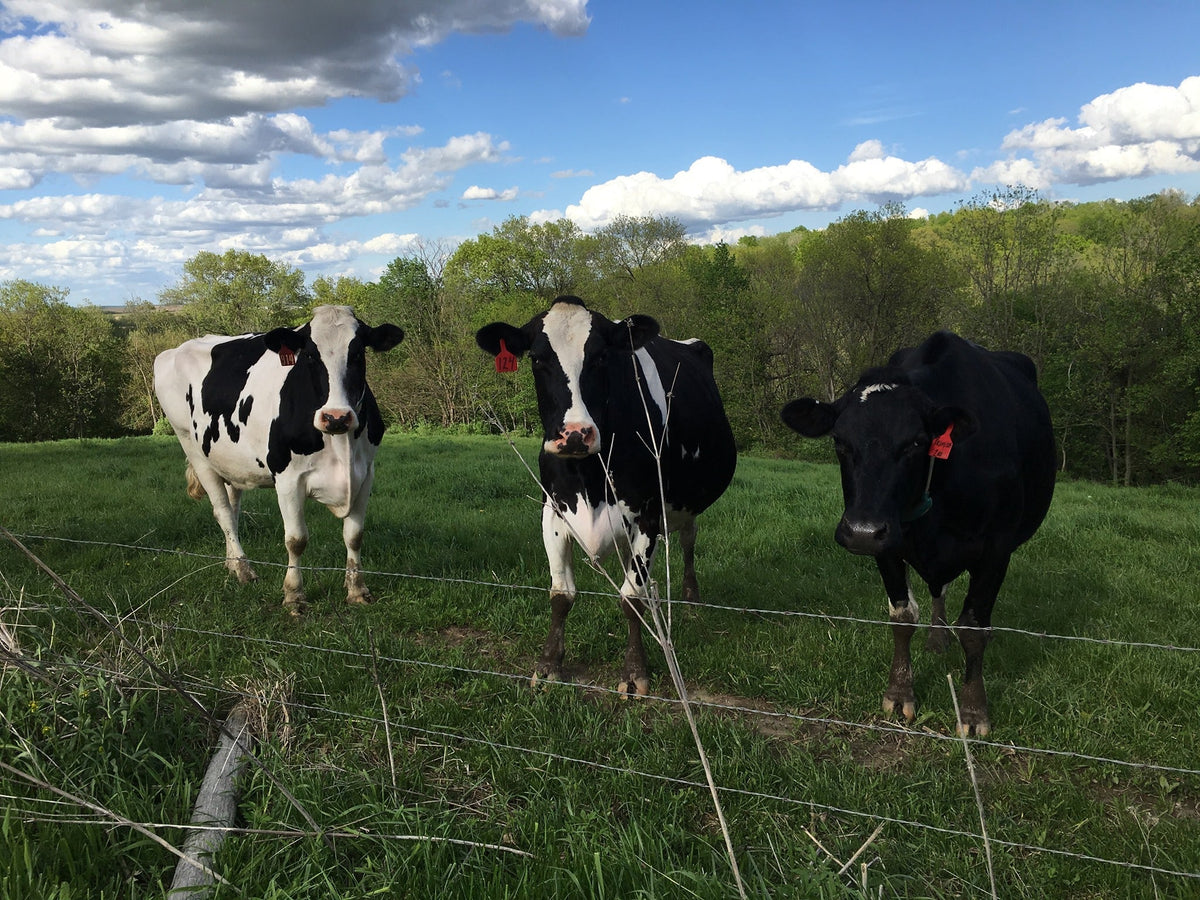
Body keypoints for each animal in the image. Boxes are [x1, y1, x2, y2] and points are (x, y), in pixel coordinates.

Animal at [153, 305, 404, 614]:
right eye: (310, 355)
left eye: (358, 353)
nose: (336, 417)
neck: (340, 443)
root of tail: (173, 350)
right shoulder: (287, 478)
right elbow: (296, 540)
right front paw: (294, 595)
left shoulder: (365, 474)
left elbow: (354, 535)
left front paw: (357, 590)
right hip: (193, 448)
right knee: (222, 511)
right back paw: (244, 570)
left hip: (230, 461)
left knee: (232, 510)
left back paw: (232, 563)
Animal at [476, 295, 737, 695]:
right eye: (536, 358)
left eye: (600, 357)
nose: (574, 434)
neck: (589, 479)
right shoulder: (552, 510)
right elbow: (561, 594)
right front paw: (549, 665)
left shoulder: (647, 514)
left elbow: (632, 599)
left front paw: (634, 672)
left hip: (685, 503)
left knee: (689, 541)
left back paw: (692, 600)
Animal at [781, 331, 1055, 735]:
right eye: (839, 441)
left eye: (914, 442)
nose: (860, 530)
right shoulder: (887, 545)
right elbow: (903, 616)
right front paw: (899, 694)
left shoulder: (996, 549)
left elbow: (974, 630)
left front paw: (973, 712)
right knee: (938, 590)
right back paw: (937, 638)